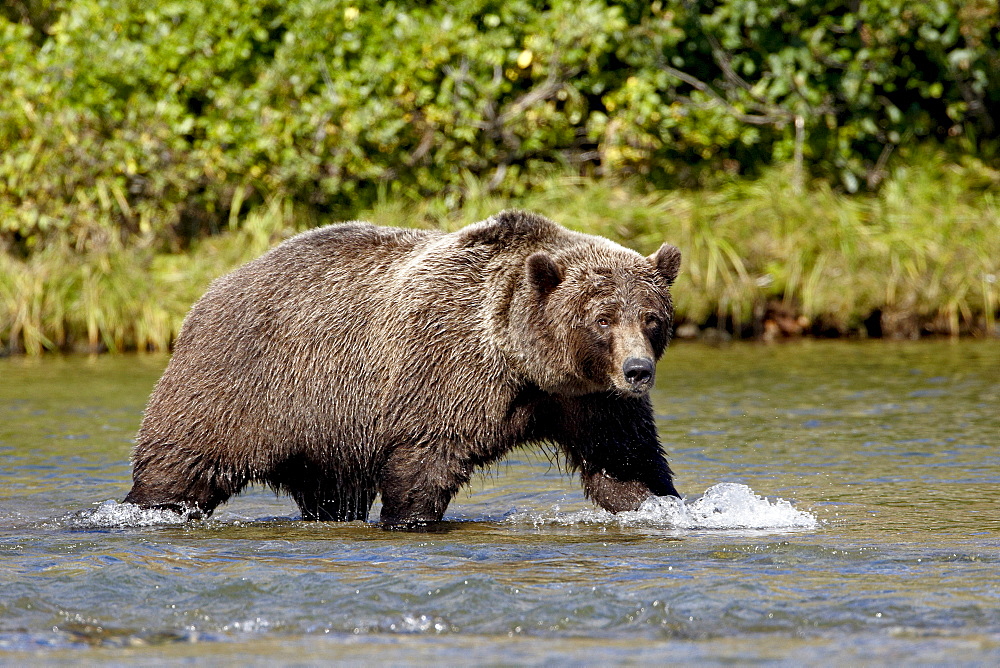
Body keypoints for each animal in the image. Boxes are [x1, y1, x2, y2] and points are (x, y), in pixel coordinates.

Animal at [125, 211, 684, 524]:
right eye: (603, 318)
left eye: (651, 317)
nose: (637, 370)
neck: (524, 363)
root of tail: (212, 288)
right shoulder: (446, 375)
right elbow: (424, 463)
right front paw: (408, 518)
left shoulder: (589, 401)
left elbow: (625, 465)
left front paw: (666, 504)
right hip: (240, 385)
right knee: (179, 466)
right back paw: (145, 508)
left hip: (324, 435)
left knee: (328, 491)